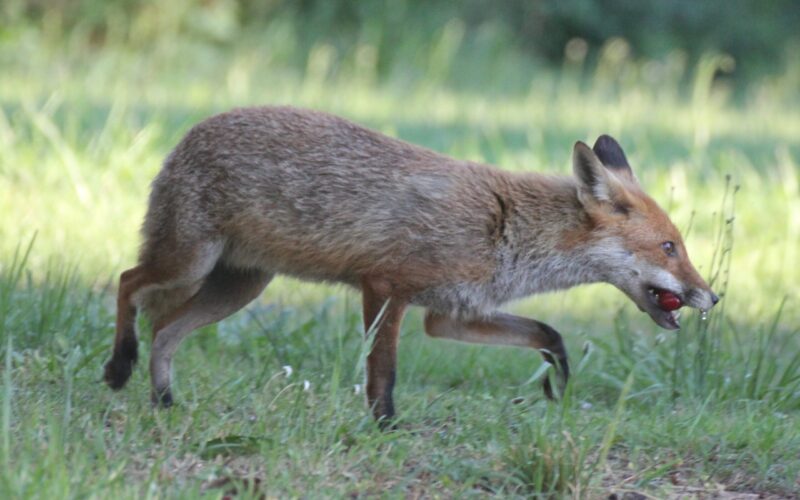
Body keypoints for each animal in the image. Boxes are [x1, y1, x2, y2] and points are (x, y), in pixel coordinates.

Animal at [103, 106, 719, 423]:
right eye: (670, 247)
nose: (713, 296)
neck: (506, 230)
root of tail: (191, 130)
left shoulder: (452, 313)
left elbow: (548, 332)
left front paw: (558, 379)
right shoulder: (386, 285)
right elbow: (384, 373)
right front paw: (384, 428)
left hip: (239, 287)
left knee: (165, 327)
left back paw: (163, 401)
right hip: (188, 262)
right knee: (127, 284)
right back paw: (118, 367)